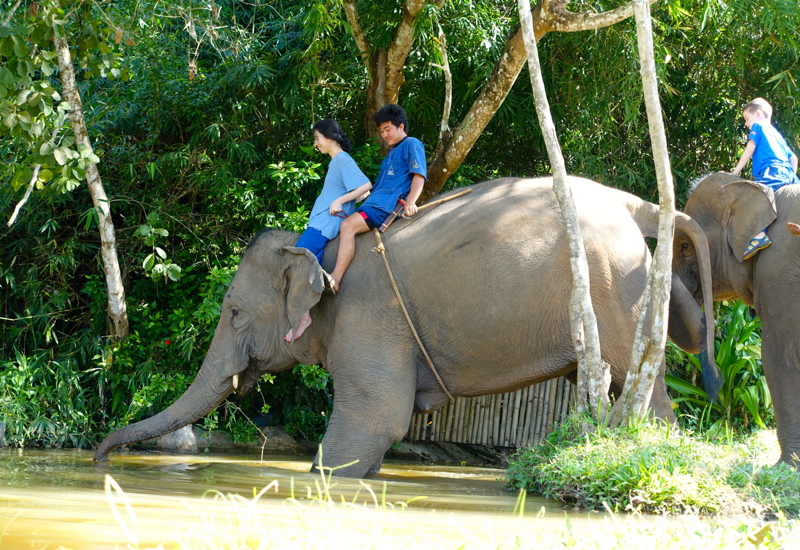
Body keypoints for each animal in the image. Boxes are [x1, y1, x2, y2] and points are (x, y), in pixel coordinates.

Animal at [97, 178, 716, 478]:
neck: (316, 246)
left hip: (619, 291)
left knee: (644, 388)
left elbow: (375, 419)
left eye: (233, 313)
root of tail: (637, 206)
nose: (101, 458)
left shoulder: (369, 318)